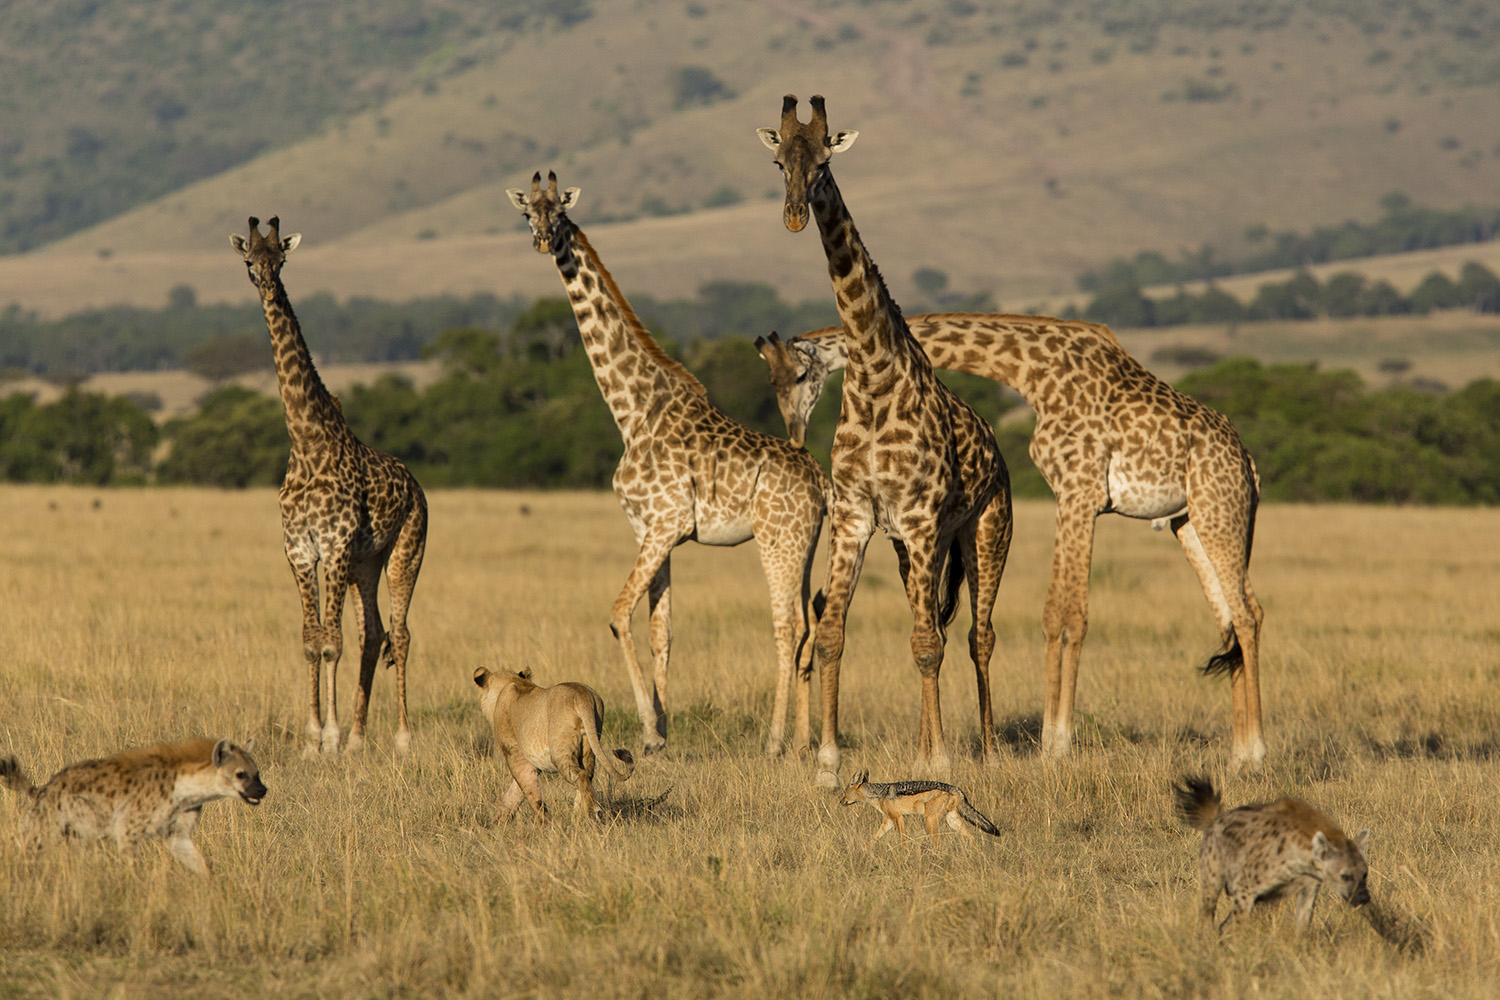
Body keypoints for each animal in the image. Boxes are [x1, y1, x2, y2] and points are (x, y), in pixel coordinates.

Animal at [229, 217, 429, 758]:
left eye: (281, 260)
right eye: (249, 260)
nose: (267, 286)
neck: (306, 442)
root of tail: (417, 487)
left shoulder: (334, 545)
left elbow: (331, 642)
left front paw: (330, 738)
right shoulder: (300, 549)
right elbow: (310, 639)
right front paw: (314, 737)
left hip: (404, 552)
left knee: (401, 633)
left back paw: (401, 738)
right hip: (366, 563)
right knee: (374, 633)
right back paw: (361, 739)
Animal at [510, 172, 828, 758]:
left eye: (559, 212)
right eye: (527, 213)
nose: (543, 241)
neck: (632, 409)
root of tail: (823, 482)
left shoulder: (664, 524)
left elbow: (618, 615)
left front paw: (650, 729)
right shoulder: (652, 530)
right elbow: (663, 630)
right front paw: (658, 732)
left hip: (779, 540)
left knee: (788, 626)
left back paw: (775, 742)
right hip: (808, 544)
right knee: (810, 625)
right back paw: (802, 742)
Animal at [750, 313, 1266, 767]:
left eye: (800, 375)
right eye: (770, 381)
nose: (795, 434)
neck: (1033, 372)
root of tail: (1248, 462)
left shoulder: (1080, 490)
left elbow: (1068, 616)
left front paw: (1056, 744)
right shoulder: (1071, 495)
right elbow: (1056, 615)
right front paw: (1052, 741)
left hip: (1219, 511)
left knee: (1244, 614)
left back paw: (1256, 753)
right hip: (1191, 521)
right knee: (1239, 614)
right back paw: (1238, 750)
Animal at [756, 93, 1014, 785]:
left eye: (824, 161)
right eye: (778, 161)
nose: (794, 216)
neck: (872, 374)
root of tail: (998, 450)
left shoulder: (922, 517)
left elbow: (927, 644)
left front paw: (944, 759)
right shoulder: (855, 516)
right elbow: (832, 633)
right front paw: (826, 762)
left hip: (984, 531)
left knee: (976, 636)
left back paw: (986, 748)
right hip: (913, 548)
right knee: (937, 628)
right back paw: (927, 748)